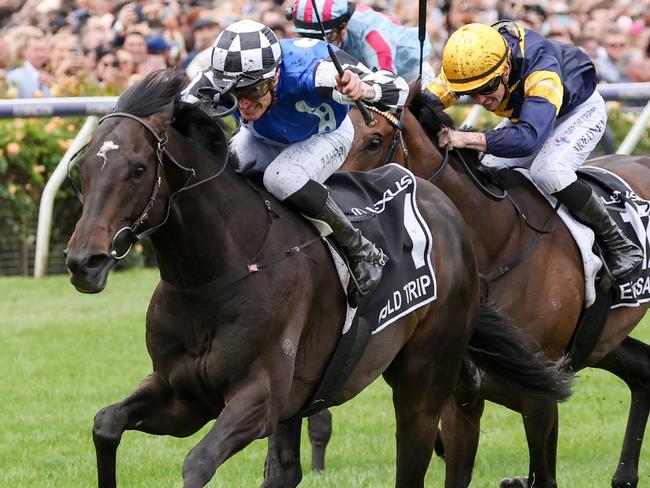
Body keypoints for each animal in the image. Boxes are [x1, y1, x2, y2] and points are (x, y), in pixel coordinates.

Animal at [60, 69, 568, 488]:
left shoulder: (257, 399)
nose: (85, 260)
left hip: (425, 379)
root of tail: (443, 203)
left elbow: (197, 464)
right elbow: (105, 424)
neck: (219, 272)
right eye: (82, 170)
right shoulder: (181, 395)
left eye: (138, 168)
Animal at [336, 96, 648, 488]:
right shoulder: (461, 397)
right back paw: (624, 475)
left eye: (374, 141)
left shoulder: (539, 392)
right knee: (643, 370)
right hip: (602, 339)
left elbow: (544, 474)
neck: (497, 241)